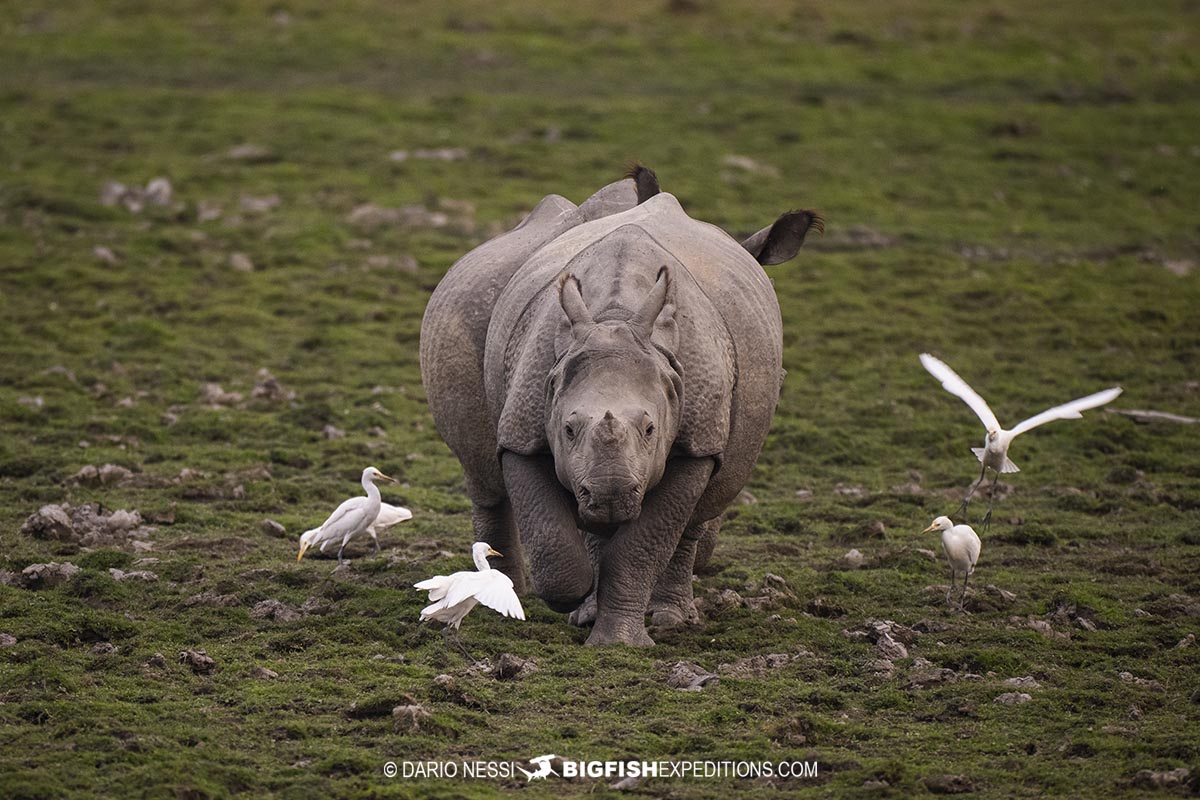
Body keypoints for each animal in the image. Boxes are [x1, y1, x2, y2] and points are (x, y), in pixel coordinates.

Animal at [420, 167, 821, 645]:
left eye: (650, 430)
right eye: (567, 429)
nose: (610, 493)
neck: (615, 317)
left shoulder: (698, 439)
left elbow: (642, 547)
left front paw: (619, 641)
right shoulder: (523, 428)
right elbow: (556, 537)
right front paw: (574, 600)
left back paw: (669, 617)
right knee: (483, 471)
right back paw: (519, 595)